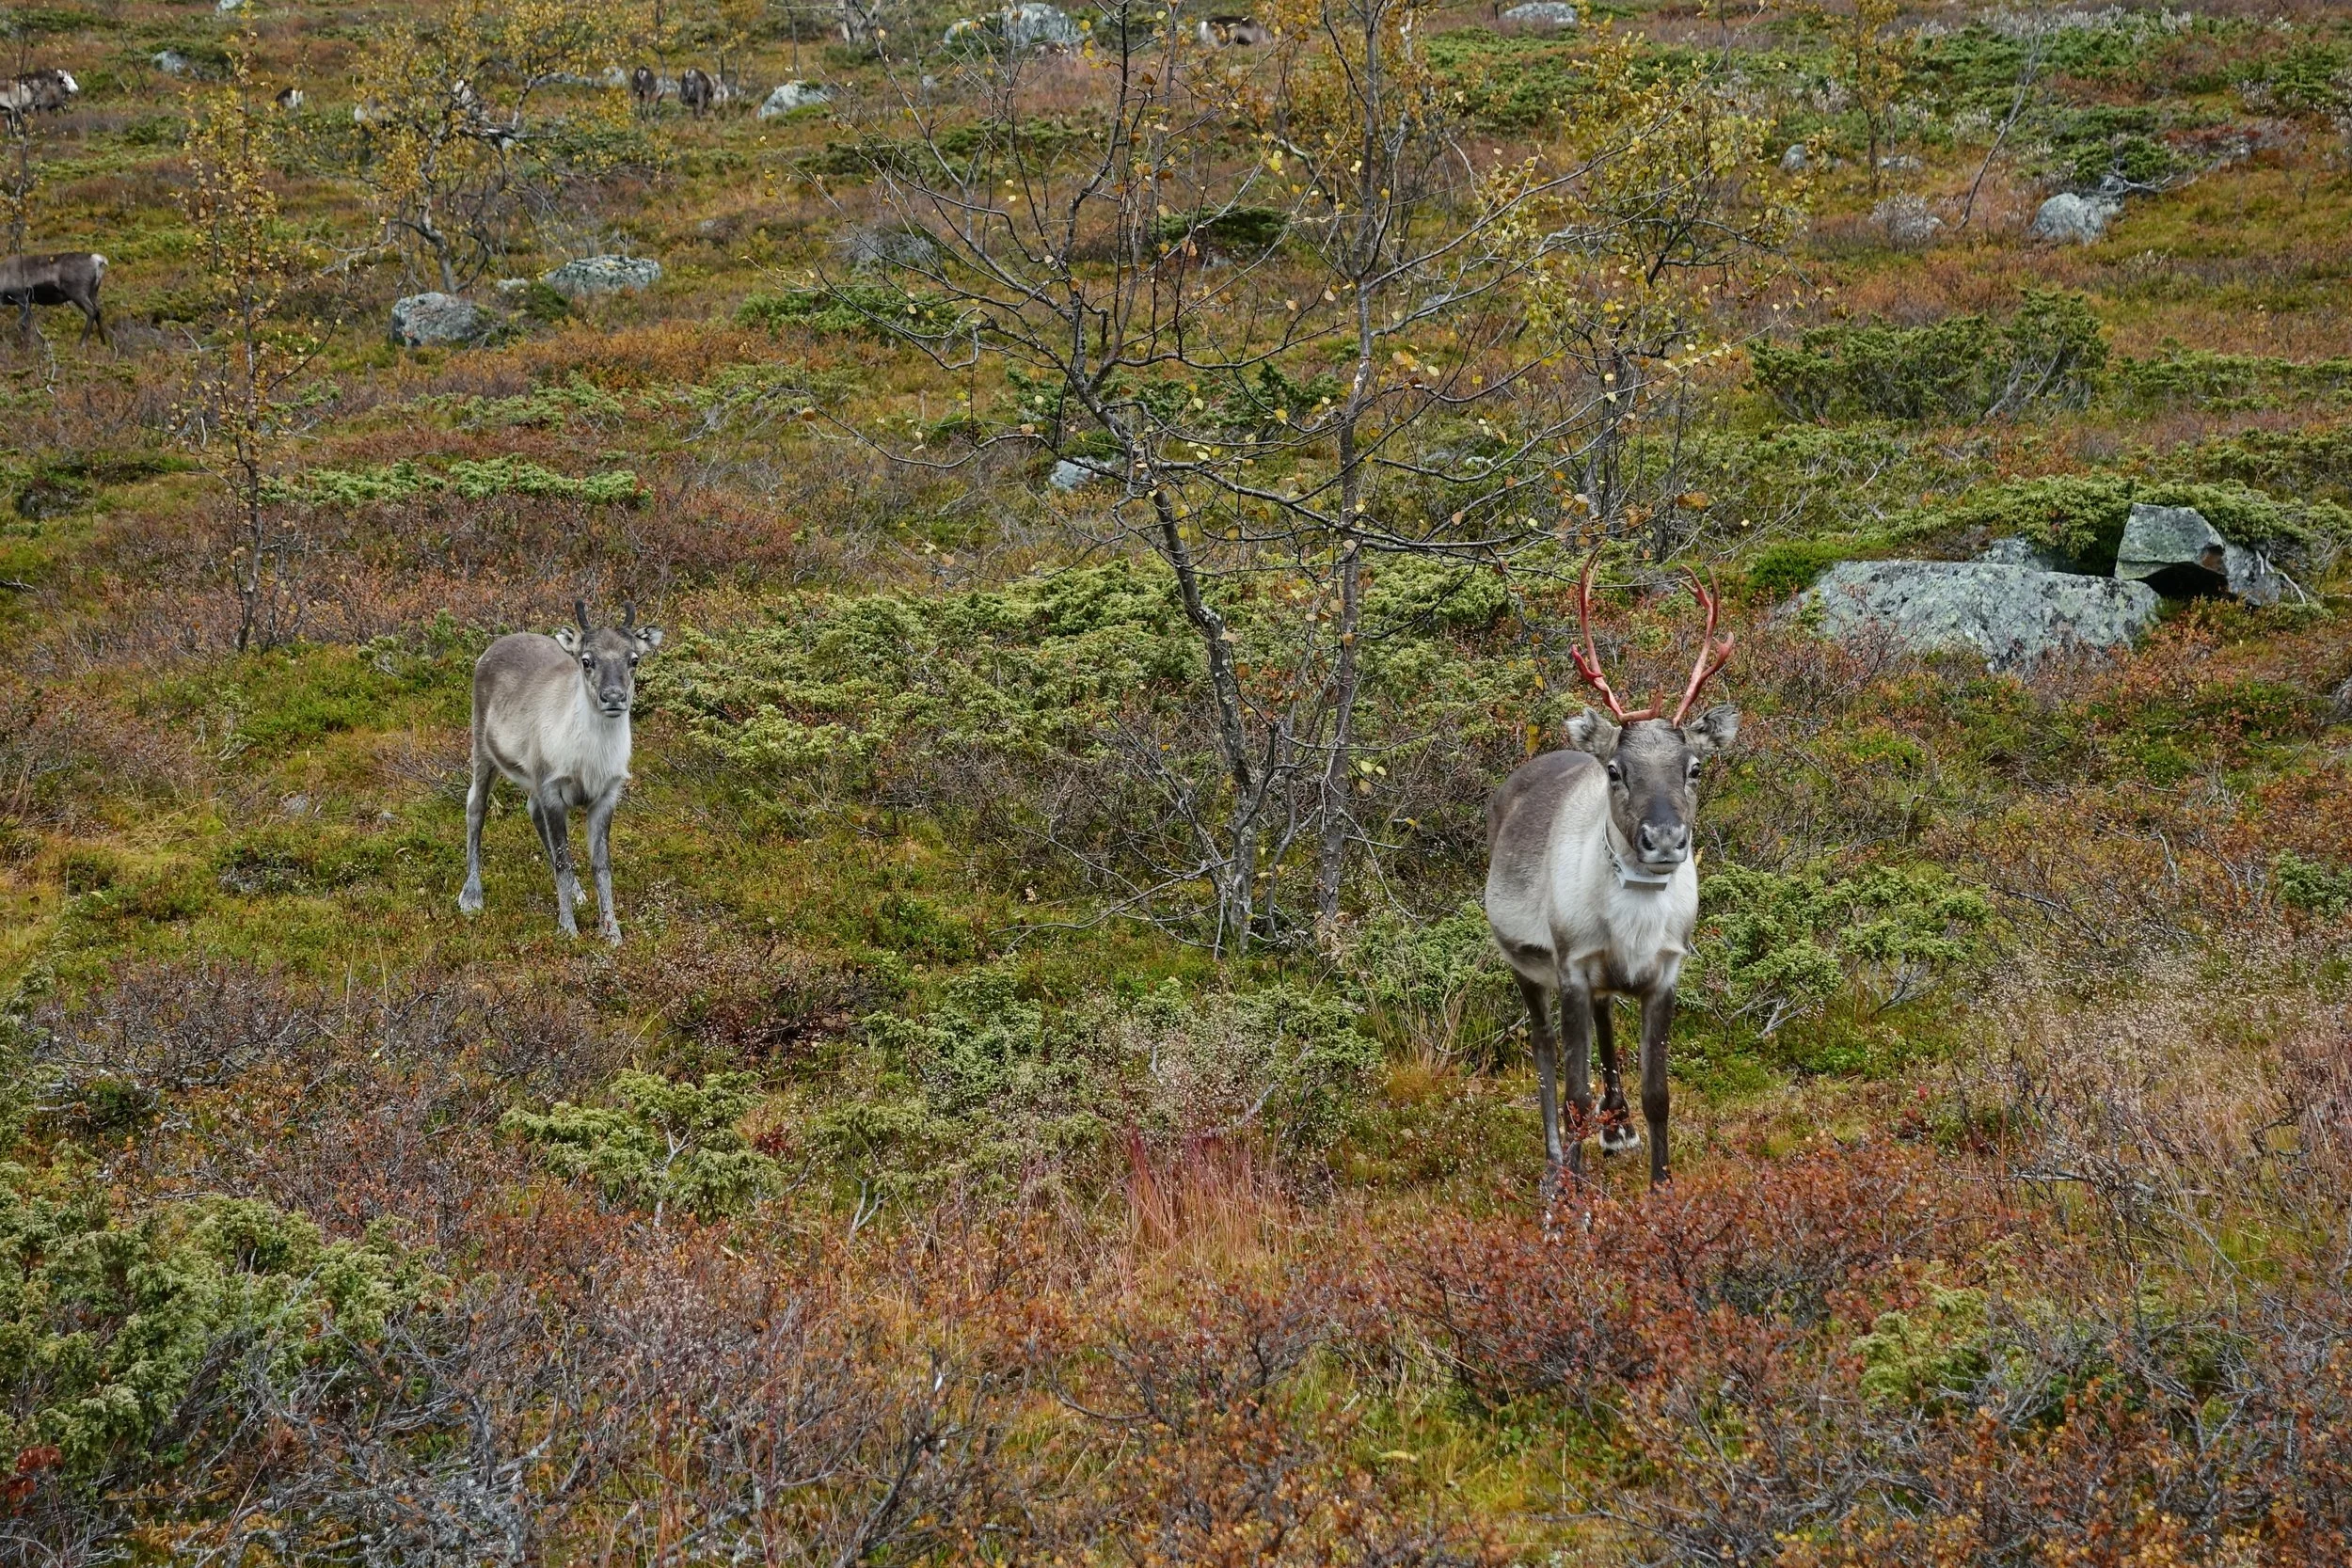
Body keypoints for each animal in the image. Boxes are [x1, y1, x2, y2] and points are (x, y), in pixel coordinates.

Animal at [460, 602, 663, 945]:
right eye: (586, 660)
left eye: (634, 659)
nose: (613, 697)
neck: (591, 759)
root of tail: (494, 645)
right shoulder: (552, 789)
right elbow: (562, 862)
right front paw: (568, 929)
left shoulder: (606, 795)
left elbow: (601, 866)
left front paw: (611, 931)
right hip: (483, 748)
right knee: (476, 806)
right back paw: (472, 894)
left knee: (531, 810)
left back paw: (578, 892)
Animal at [1485, 550, 1739, 1188]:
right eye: (1617, 771)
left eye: (1695, 767)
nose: (1665, 838)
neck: (1635, 920)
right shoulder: (1572, 967)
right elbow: (1574, 1095)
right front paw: (1573, 1198)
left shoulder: (1665, 973)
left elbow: (1658, 1094)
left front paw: (1662, 1186)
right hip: (1525, 963)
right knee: (1544, 1047)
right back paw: (1555, 1165)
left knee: (1604, 1025)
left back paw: (1616, 1125)